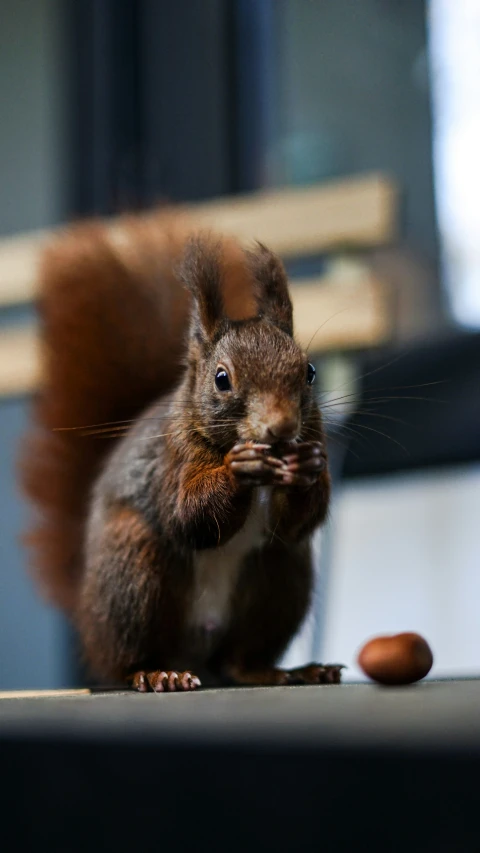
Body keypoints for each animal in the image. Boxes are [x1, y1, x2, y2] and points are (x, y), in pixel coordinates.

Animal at [19, 210, 342, 688]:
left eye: (310, 372)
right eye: (222, 378)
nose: (282, 428)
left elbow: (294, 523)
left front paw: (308, 467)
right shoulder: (172, 459)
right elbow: (188, 513)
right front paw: (239, 470)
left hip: (282, 579)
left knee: (239, 657)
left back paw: (286, 670)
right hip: (135, 573)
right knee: (127, 657)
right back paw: (156, 673)